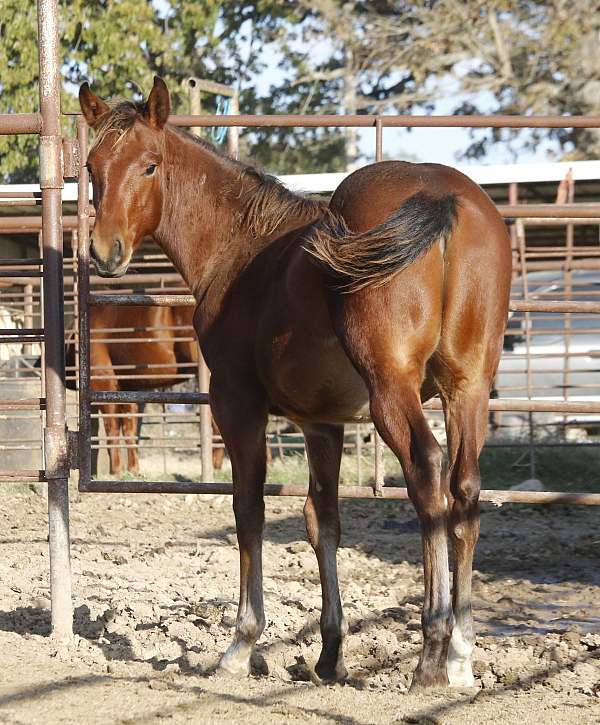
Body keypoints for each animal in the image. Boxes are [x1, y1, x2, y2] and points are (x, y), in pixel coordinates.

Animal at [66, 303, 225, 475]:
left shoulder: (103, 380)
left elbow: (112, 427)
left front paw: (116, 470)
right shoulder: (126, 387)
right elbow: (129, 427)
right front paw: (133, 469)